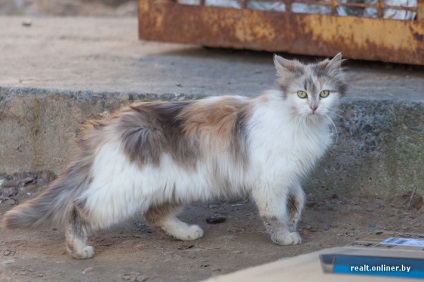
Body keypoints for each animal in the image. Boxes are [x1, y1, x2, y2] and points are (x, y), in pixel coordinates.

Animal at [2, 54, 348, 258]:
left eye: (324, 93)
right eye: (301, 94)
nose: (314, 106)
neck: (301, 123)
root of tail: (111, 123)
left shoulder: (288, 174)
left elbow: (298, 199)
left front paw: (294, 219)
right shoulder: (270, 180)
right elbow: (274, 214)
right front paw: (284, 237)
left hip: (179, 184)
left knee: (154, 214)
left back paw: (185, 233)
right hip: (127, 189)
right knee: (79, 207)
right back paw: (78, 247)